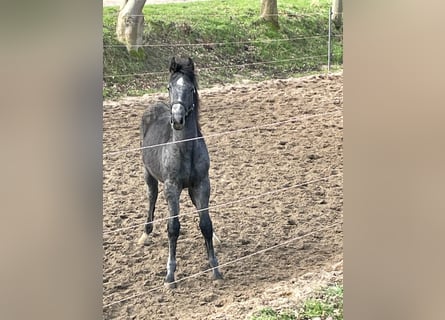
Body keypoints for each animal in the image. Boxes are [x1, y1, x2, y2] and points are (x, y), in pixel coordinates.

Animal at [137, 55, 222, 288]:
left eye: (191, 88)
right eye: (169, 87)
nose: (177, 119)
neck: (185, 149)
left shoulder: (202, 183)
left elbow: (206, 224)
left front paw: (215, 269)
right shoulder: (172, 187)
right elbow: (173, 227)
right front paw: (170, 276)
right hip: (149, 174)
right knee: (152, 197)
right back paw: (145, 234)